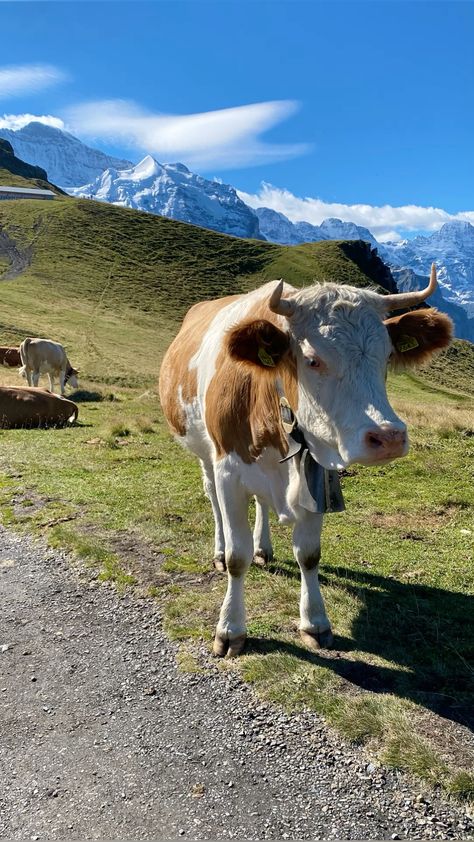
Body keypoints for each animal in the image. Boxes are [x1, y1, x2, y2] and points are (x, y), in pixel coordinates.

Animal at [159, 262, 452, 656]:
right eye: (313, 359)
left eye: (387, 356)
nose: (388, 437)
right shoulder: (229, 471)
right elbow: (237, 557)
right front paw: (230, 629)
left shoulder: (319, 476)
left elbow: (309, 553)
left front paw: (315, 622)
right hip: (205, 454)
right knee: (213, 500)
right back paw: (219, 550)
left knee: (261, 504)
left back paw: (264, 548)